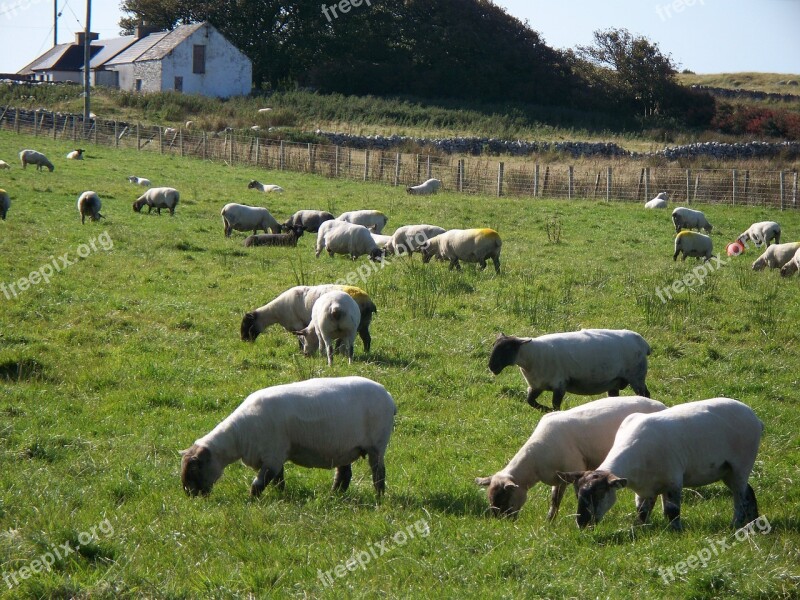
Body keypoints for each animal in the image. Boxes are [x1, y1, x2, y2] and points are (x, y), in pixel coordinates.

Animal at [180, 378, 396, 500]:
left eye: (194, 469)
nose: (189, 494)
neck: (238, 435)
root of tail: (388, 396)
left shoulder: (273, 456)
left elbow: (259, 483)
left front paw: (252, 501)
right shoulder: (273, 457)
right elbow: (278, 480)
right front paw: (280, 496)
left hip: (377, 445)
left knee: (378, 473)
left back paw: (378, 497)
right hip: (343, 447)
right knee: (344, 475)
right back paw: (333, 495)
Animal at [241, 284, 378, 352]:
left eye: (247, 324)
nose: (244, 341)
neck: (276, 312)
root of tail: (368, 302)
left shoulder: (297, 324)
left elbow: (300, 339)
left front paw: (300, 350)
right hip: (364, 323)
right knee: (367, 339)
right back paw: (366, 352)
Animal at [478, 394, 664, 520]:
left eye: (504, 500)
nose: (504, 522)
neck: (533, 465)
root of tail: (661, 405)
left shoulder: (575, 470)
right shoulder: (558, 477)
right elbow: (555, 500)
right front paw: (549, 521)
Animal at [490, 328, 652, 412]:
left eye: (507, 348)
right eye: (494, 346)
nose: (491, 366)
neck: (532, 356)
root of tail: (643, 343)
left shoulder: (560, 384)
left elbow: (555, 405)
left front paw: (552, 412)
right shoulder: (537, 386)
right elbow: (530, 401)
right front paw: (544, 409)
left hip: (636, 376)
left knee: (645, 394)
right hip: (614, 381)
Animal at [556, 398, 764, 528]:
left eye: (599, 494)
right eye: (577, 494)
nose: (582, 524)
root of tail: (755, 418)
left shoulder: (673, 480)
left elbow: (672, 511)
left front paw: (675, 531)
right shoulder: (645, 488)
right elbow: (642, 511)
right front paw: (641, 528)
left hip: (741, 464)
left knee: (740, 496)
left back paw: (736, 524)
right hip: (727, 470)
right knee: (749, 492)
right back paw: (752, 521)